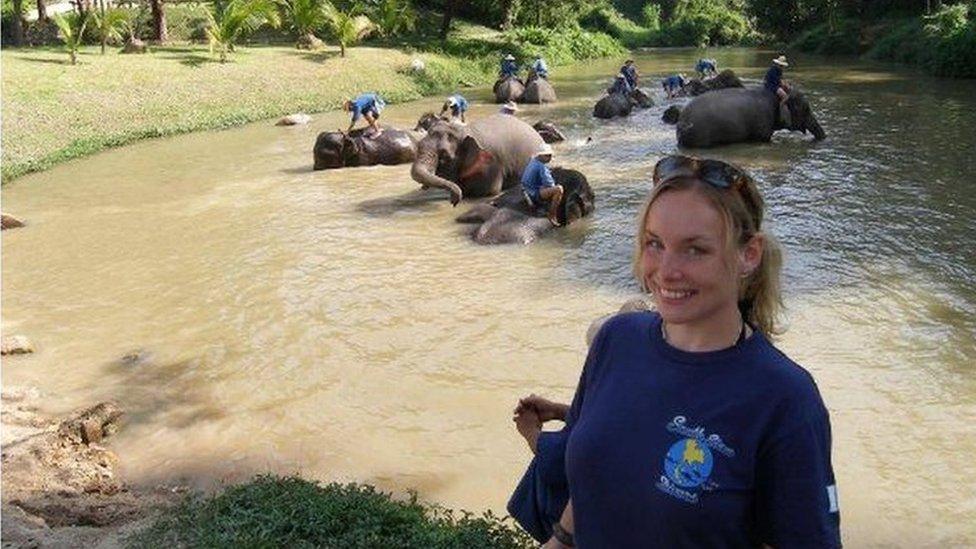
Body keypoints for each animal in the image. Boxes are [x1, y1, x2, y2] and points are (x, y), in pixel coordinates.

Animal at [412, 113, 548, 206]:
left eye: (444, 155)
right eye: (418, 145)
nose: (454, 201)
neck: (464, 130)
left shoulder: (491, 164)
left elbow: (489, 192)